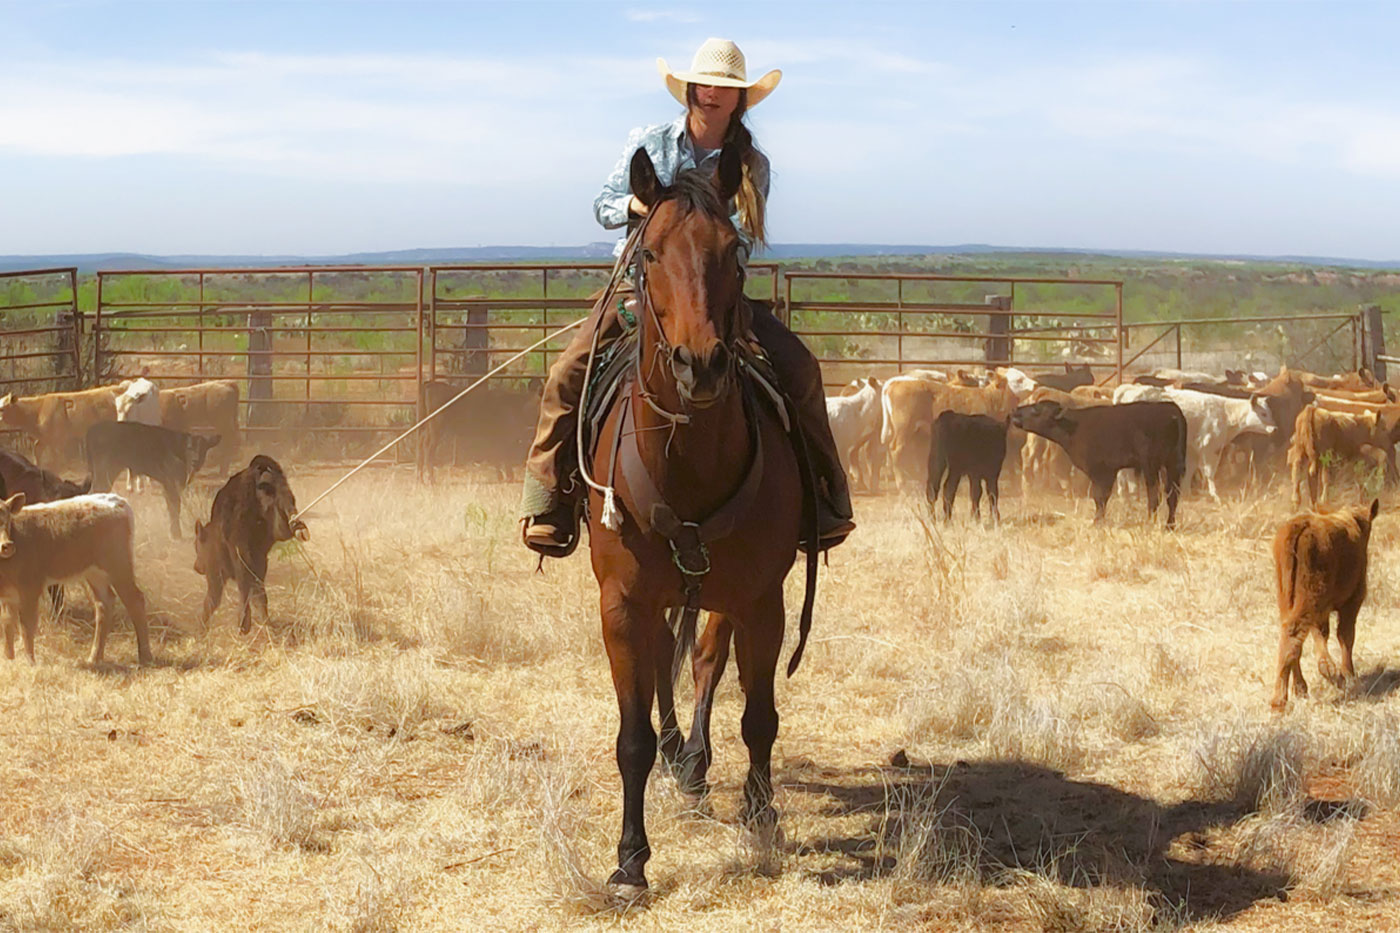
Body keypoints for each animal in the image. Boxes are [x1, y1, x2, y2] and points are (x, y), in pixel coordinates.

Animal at [0, 490, 151, 664]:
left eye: (7, 520)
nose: (6, 546)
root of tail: (114, 499)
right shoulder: (7, 596)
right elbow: (7, 625)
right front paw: (9, 658)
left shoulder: (30, 588)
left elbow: (26, 627)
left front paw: (30, 663)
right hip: (94, 573)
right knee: (104, 604)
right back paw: (94, 657)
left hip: (118, 565)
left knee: (135, 600)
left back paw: (145, 656)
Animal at [585, 141, 812, 890]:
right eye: (650, 252)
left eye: (733, 250)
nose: (701, 363)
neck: (688, 462)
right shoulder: (623, 601)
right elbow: (629, 735)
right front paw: (629, 859)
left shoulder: (762, 598)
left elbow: (759, 716)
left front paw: (762, 816)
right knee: (666, 661)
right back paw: (676, 753)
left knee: (707, 659)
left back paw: (694, 763)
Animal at [1271, 498, 1377, 708]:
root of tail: (1300, 524)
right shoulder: (1352, 601)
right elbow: (1345, 635)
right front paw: (1347, 674)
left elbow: (1323, 634)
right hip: (1311, 597)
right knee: (1294, 633)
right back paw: (1279, 700)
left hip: (1288, 598)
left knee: (1292, 637)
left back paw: (1300, 688)